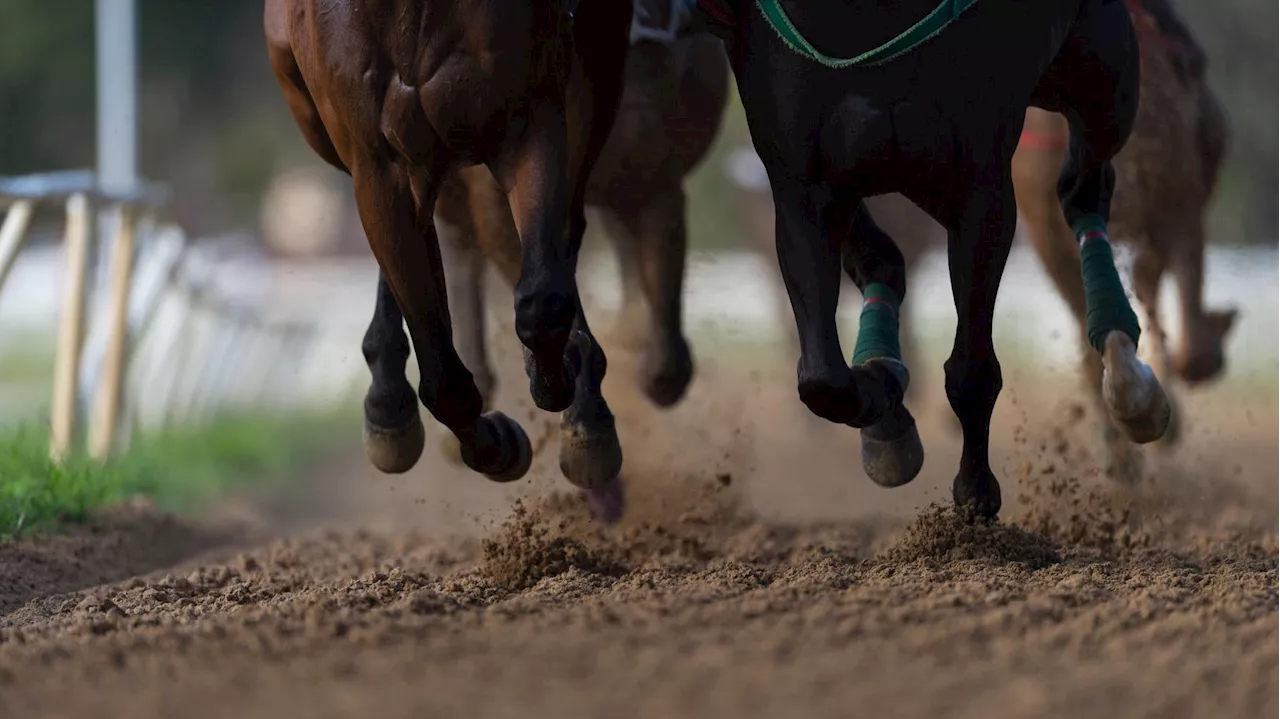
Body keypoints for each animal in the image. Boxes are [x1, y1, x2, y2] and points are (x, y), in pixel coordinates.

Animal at [263, 0, 634, 514]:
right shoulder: (379, 165)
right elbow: (443, 379)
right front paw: (499, 445)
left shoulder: (529, 118)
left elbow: (542, 302)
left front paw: (566, 389)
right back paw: (389, 403)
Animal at [701, 0, 1172, 516]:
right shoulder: (802, 182)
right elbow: (823, 378)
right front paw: (886, 408)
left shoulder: (978, 185)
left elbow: (972, 368)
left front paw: (975, 491)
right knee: (880, 260)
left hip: (1102, 75)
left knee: (1084, 188)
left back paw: (1131, 382)